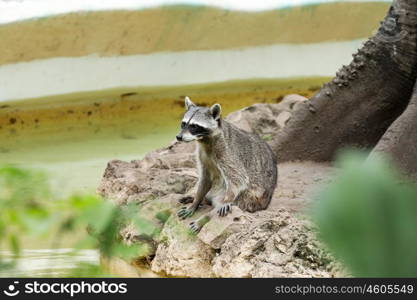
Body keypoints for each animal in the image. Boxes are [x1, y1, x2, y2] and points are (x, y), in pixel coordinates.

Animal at [175, 97, 276, 233]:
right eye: (183, 123)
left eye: (194, 126)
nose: (178, 137)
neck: (205, 140)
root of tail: (265, 203)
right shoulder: (202, 155)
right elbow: (205, 179)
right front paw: (196, 201)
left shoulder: (227, 152)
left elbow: (238, 178)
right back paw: (199, 199)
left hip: (248, 199)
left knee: (222, 205)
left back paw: (205, 218)